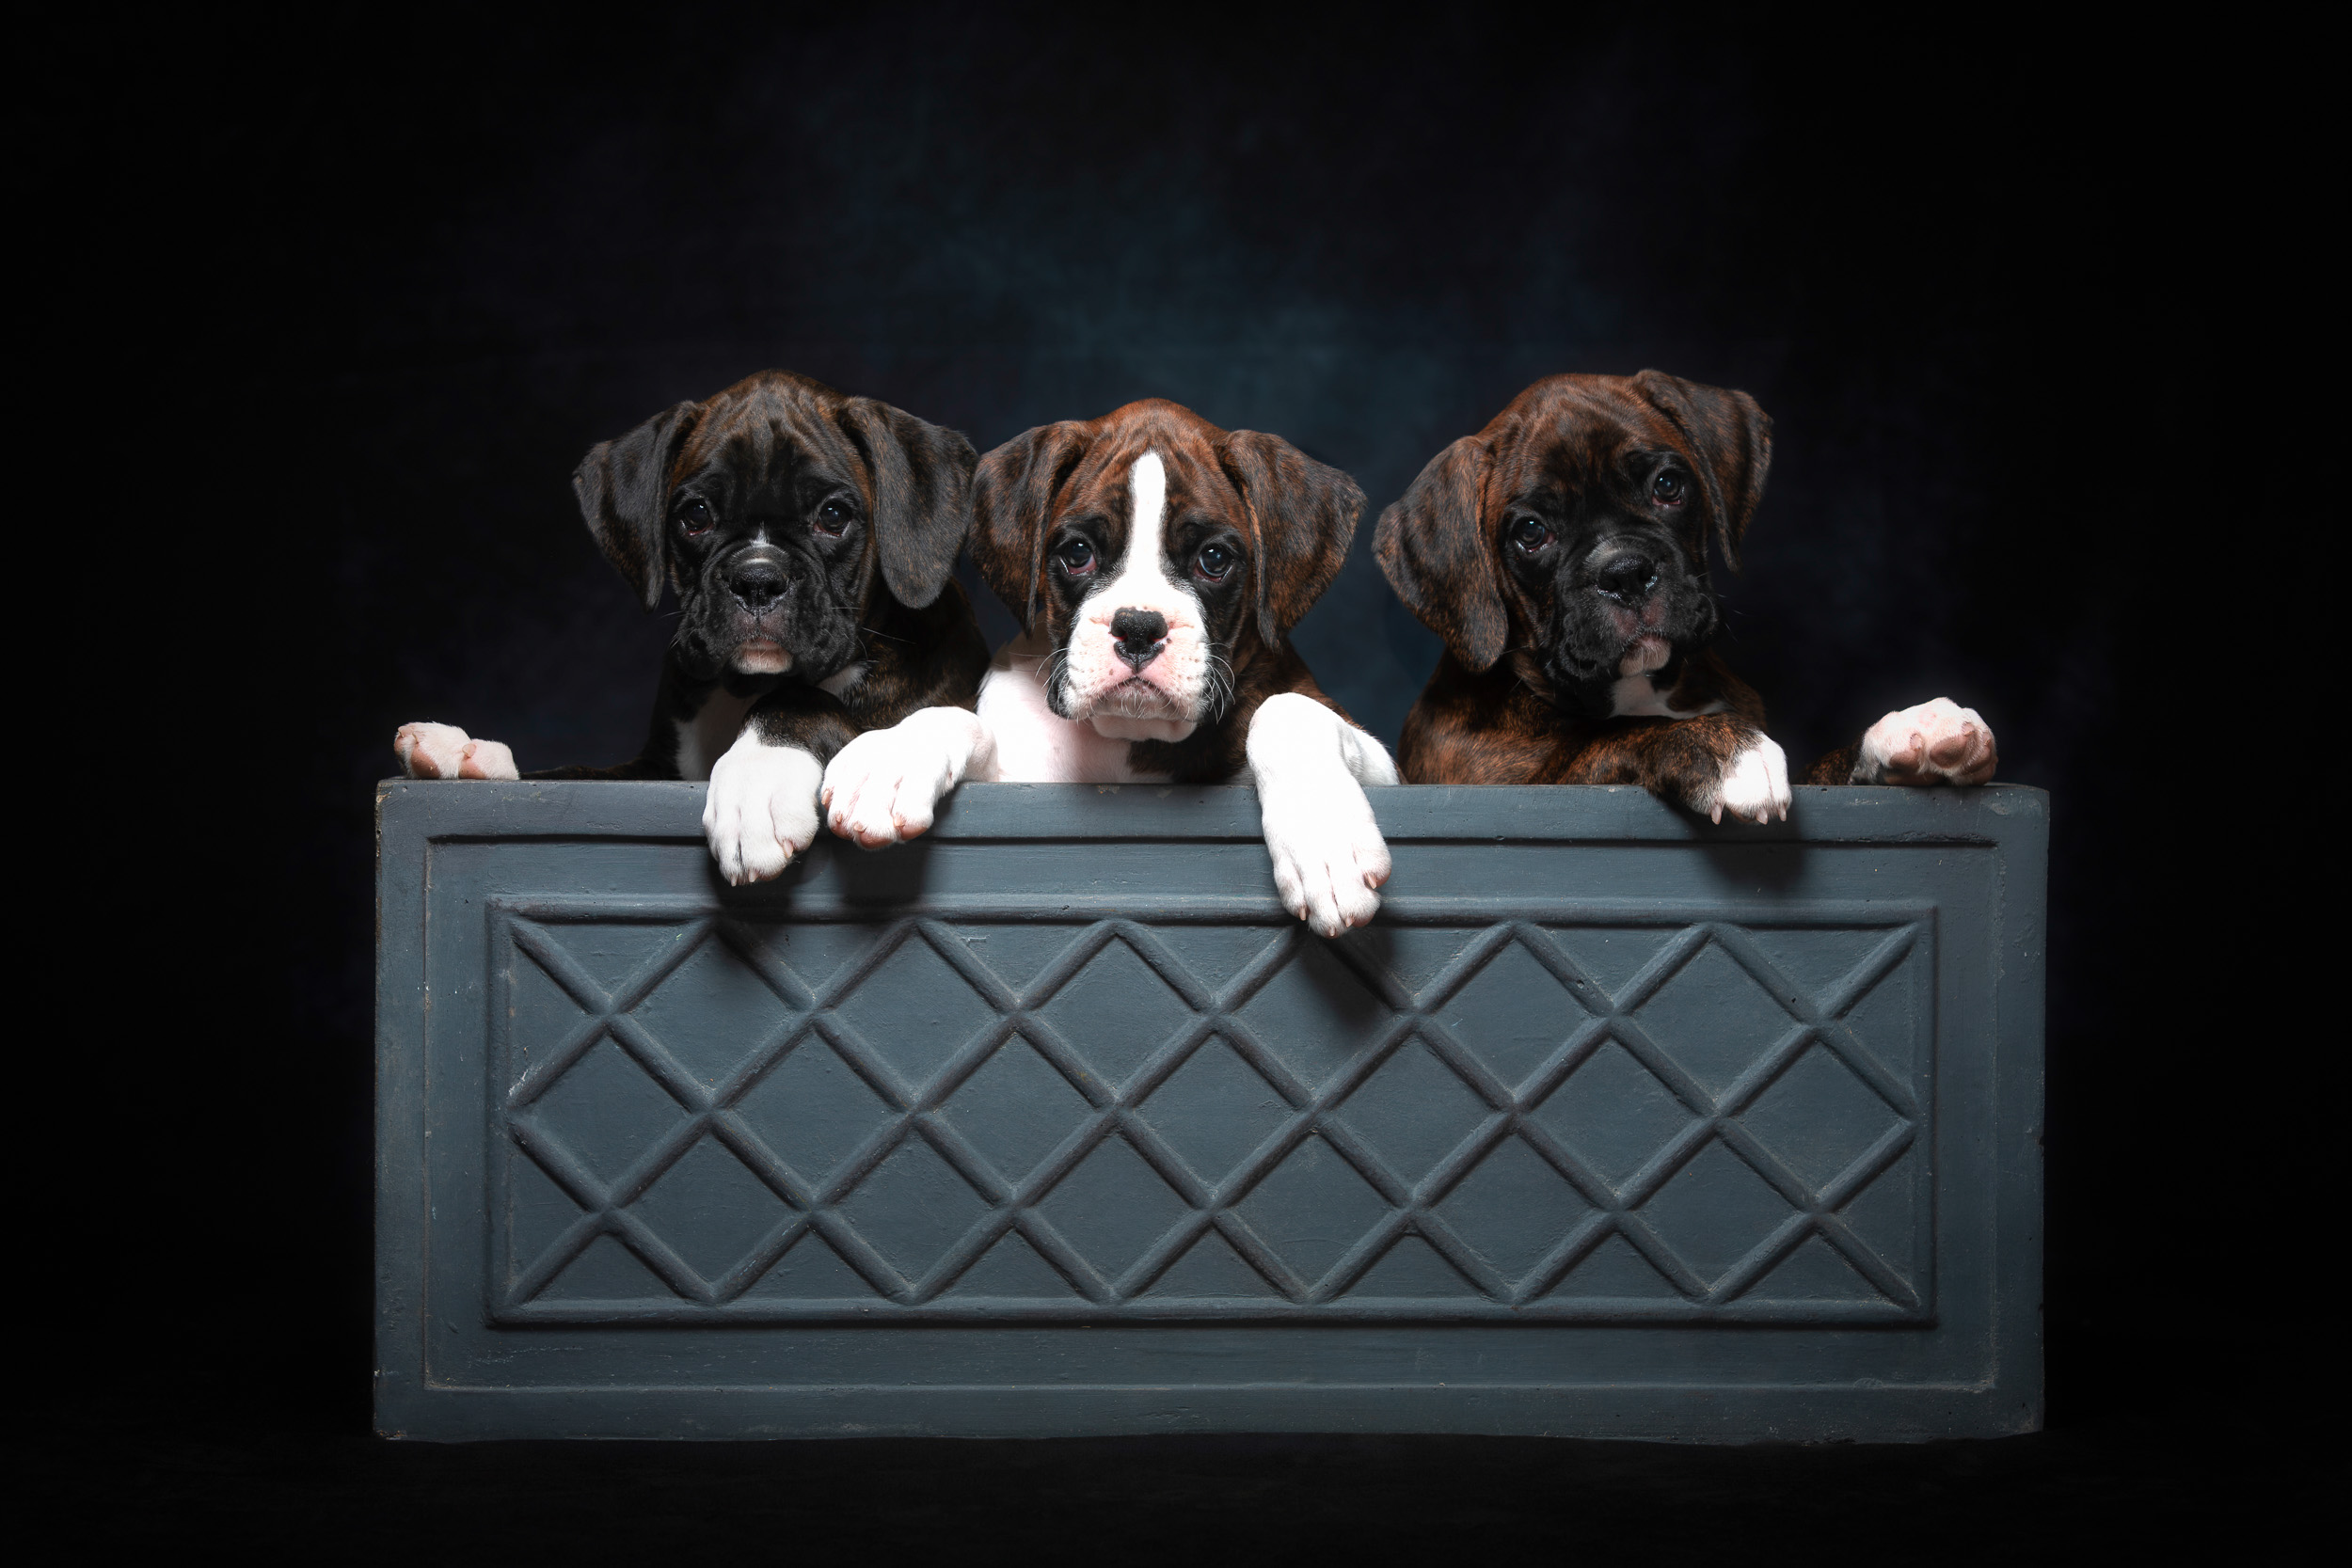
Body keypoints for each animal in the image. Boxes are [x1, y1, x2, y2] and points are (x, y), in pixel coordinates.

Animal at [394, 369, 990, 883]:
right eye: (696, 515)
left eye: (834, 516)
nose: (757, 579)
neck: (745, 686)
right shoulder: (652, 771)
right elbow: (569, 776)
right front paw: (469, 754)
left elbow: (800, 699)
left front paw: (756, 779)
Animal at [813, 398, 1399, 937]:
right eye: (1077, 552)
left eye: (1214, 559)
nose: (1139, 627)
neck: (1125, 741)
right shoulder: (1013, 786)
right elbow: (960, 720)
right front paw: (892, 759)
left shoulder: (1389, 771)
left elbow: (1287, 712)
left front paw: (1326, 841)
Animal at [1373, 371, 1996, 806]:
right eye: (1530, 532)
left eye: (1668, 485)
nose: (1624, 570)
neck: (1645, 688)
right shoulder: (1504, 786)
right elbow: (1605, 741)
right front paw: (1717, 748)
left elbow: (1821, 770)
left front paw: (1908, 732)